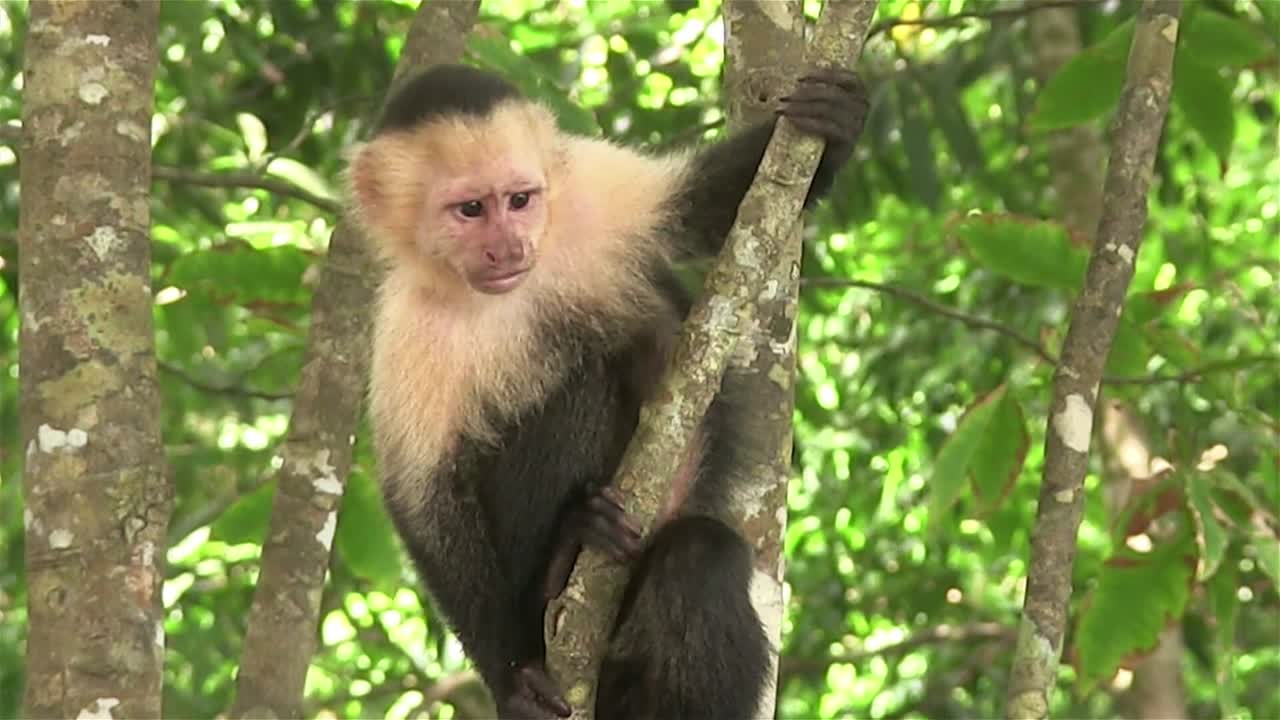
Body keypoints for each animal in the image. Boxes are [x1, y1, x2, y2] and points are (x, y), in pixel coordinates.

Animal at [346, 63, 868, 719]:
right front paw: (510, 674)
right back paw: (562, 559)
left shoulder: (588, 197)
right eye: (469, 209)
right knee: (570, 385)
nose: (510, 247)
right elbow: (422, 495)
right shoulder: (406, 328)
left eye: (520, 200)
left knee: (698, 555)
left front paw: (838, 120)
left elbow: (708, 209)